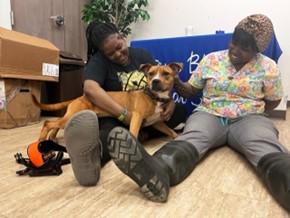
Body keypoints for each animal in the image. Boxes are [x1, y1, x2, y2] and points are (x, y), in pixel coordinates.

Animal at [32, 63, 182, 141]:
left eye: (166, 73)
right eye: (150, 74)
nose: (155, 81)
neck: (154, 97)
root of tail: (80, 97)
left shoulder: (157, 122)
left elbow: (170, 131)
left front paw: (178, 137)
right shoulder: (137, 118)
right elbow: (133, 133)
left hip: (71, 116)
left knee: (56, 124)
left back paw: (52, 137)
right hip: (73, 115)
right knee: (48, 123)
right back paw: (41, 140)